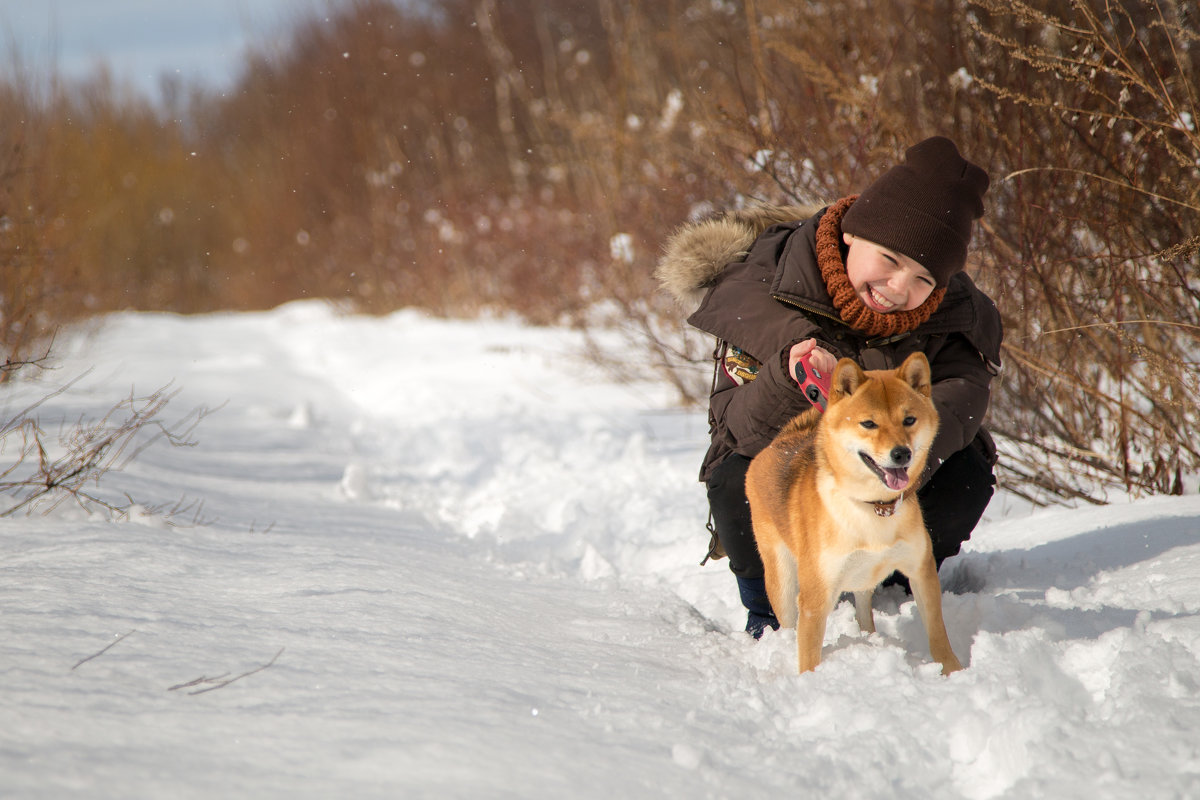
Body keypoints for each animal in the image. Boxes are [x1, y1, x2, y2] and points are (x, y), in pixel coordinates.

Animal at [744, 352, 960, 671]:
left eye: (909, 420)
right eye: (868, 424)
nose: (902, 453)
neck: (874, 508)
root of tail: (781, 441)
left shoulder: (921, 571)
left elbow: (938, 634)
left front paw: (953, 671)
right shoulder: (815, 596)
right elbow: (809, 655)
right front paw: (809, 679)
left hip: (863, 578)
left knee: (864, 611)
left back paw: (869, 638)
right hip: (781, 579)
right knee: (787, 621)